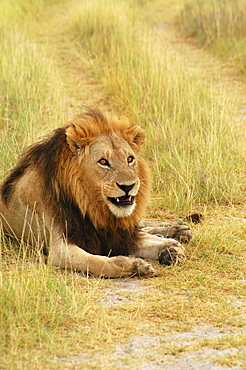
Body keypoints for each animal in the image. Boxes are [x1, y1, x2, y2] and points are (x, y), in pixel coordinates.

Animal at [0, 108, 190, 276]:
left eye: (130, 159)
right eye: (103, 161)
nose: (128, 186)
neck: (94, 208)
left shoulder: (119, 235)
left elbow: (144, 238)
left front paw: (170, 248)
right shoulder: (60, 249)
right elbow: (97, 263)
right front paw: (134, 266)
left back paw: (178, 231)